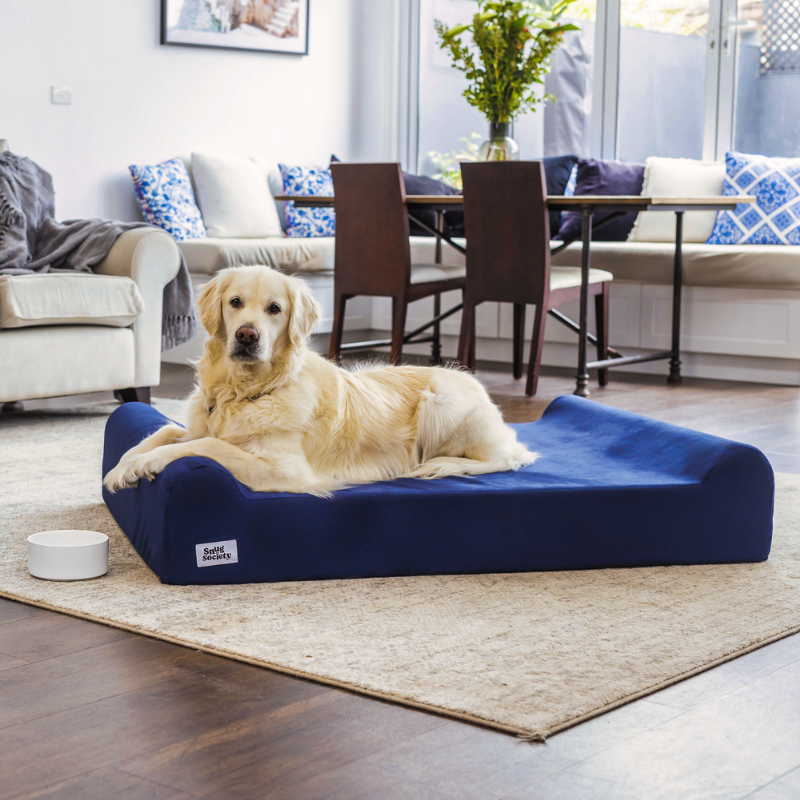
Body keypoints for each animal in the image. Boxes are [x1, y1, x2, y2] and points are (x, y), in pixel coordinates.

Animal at [103, 266, 536, 496]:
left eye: (274, 309)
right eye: (235, 303)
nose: (247, 336)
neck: (243, 391)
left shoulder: (287, 472)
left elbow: (207, 445)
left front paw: (145, 463)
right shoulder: (198, 421)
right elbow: (164, 432)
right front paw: (124, 465)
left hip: (441, 400)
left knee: (508, 457)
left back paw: (439, 465)